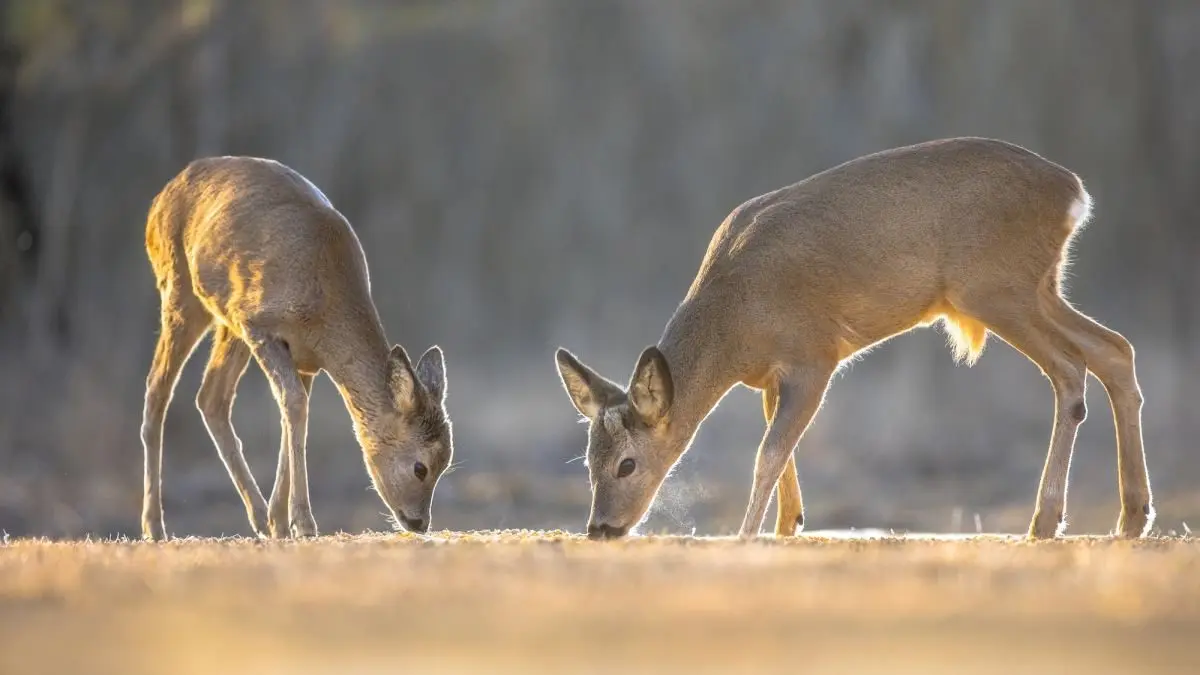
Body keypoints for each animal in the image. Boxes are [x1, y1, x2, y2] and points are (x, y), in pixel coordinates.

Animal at [140, 156, 453, 541]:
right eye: (421, 467)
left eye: (446, 464)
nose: (419, 522)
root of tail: (158, 200)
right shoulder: (259, 324)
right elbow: (294, 404)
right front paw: (302, 522)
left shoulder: (305, 358)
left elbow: (294, 411)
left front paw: (279, 521)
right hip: (180, 290)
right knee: (157, 389)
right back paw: (154, 525)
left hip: (227, 320)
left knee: (211, 397)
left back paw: (259, 517)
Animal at [554, 137, 1153, 542]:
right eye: (586, 462)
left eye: (626, 464)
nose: (600, 528)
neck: (735, 324)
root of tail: (1074, 192)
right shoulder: (771, 377)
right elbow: (782, 451)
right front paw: (789, 524)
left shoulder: (813, 353)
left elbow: (769, 451)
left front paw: (747, 535)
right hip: (1037, 287)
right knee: (1114, 349)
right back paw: (1131, 517)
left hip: (995, 287)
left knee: (1071, 370)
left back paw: (1046, 521)